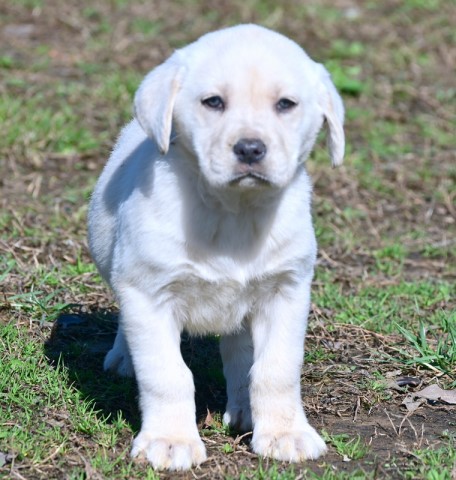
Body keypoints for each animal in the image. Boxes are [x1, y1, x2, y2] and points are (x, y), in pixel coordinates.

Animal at [88, 24, 346, 470]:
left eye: (285, 104)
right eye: (213, 102)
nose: (250, 148)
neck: (233, 212)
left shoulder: (285, 291)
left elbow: (276, 369)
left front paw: (285, 433)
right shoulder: (148, 292)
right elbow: (167, 374)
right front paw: (169, 440)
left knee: (240, 353)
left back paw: (244, 410)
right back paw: (123, 357)